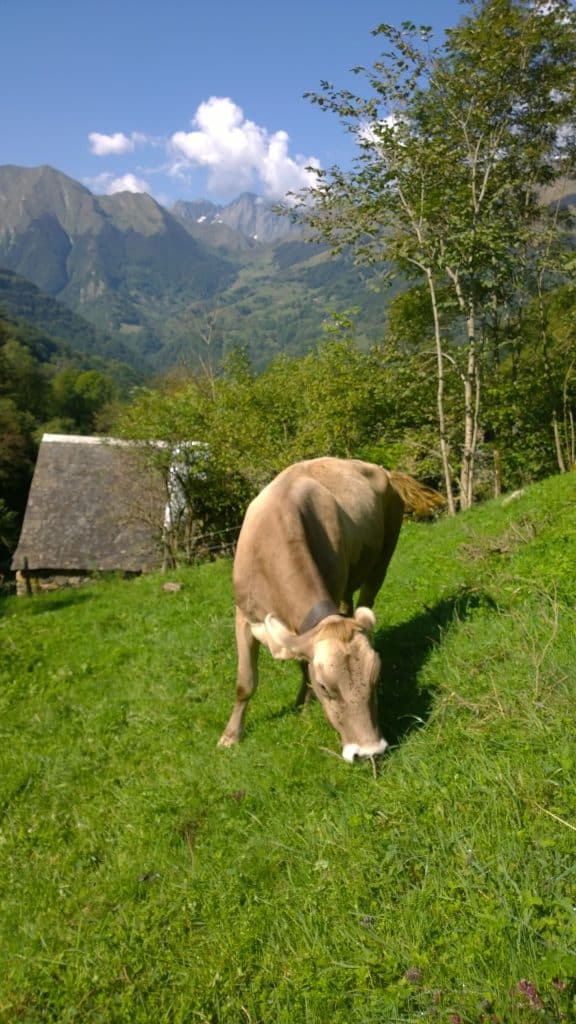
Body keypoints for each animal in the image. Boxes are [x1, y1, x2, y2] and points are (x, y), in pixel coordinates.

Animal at [217, 456, 440, 761]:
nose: (369, 751)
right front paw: (230, 736)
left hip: (383, 555)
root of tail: (382, 469)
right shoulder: (244, 616)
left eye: (376, 678)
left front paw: (304, 703)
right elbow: (246, 682)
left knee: (366, 596)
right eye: (326, 687)